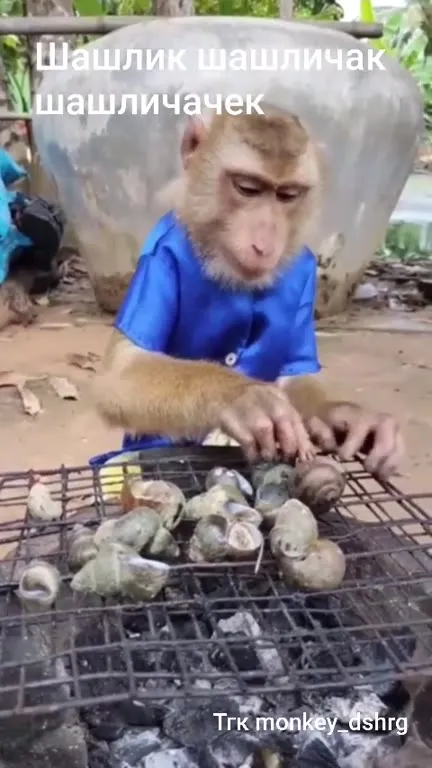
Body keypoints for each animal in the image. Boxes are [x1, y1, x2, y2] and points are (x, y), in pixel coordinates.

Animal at [91, 106, 403, 480]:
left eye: (288, 195)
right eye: (248, 188)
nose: (264, 244)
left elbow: (296, 374)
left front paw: (338, 414)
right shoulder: (157, 259)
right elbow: (123, 371)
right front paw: (243, 397)